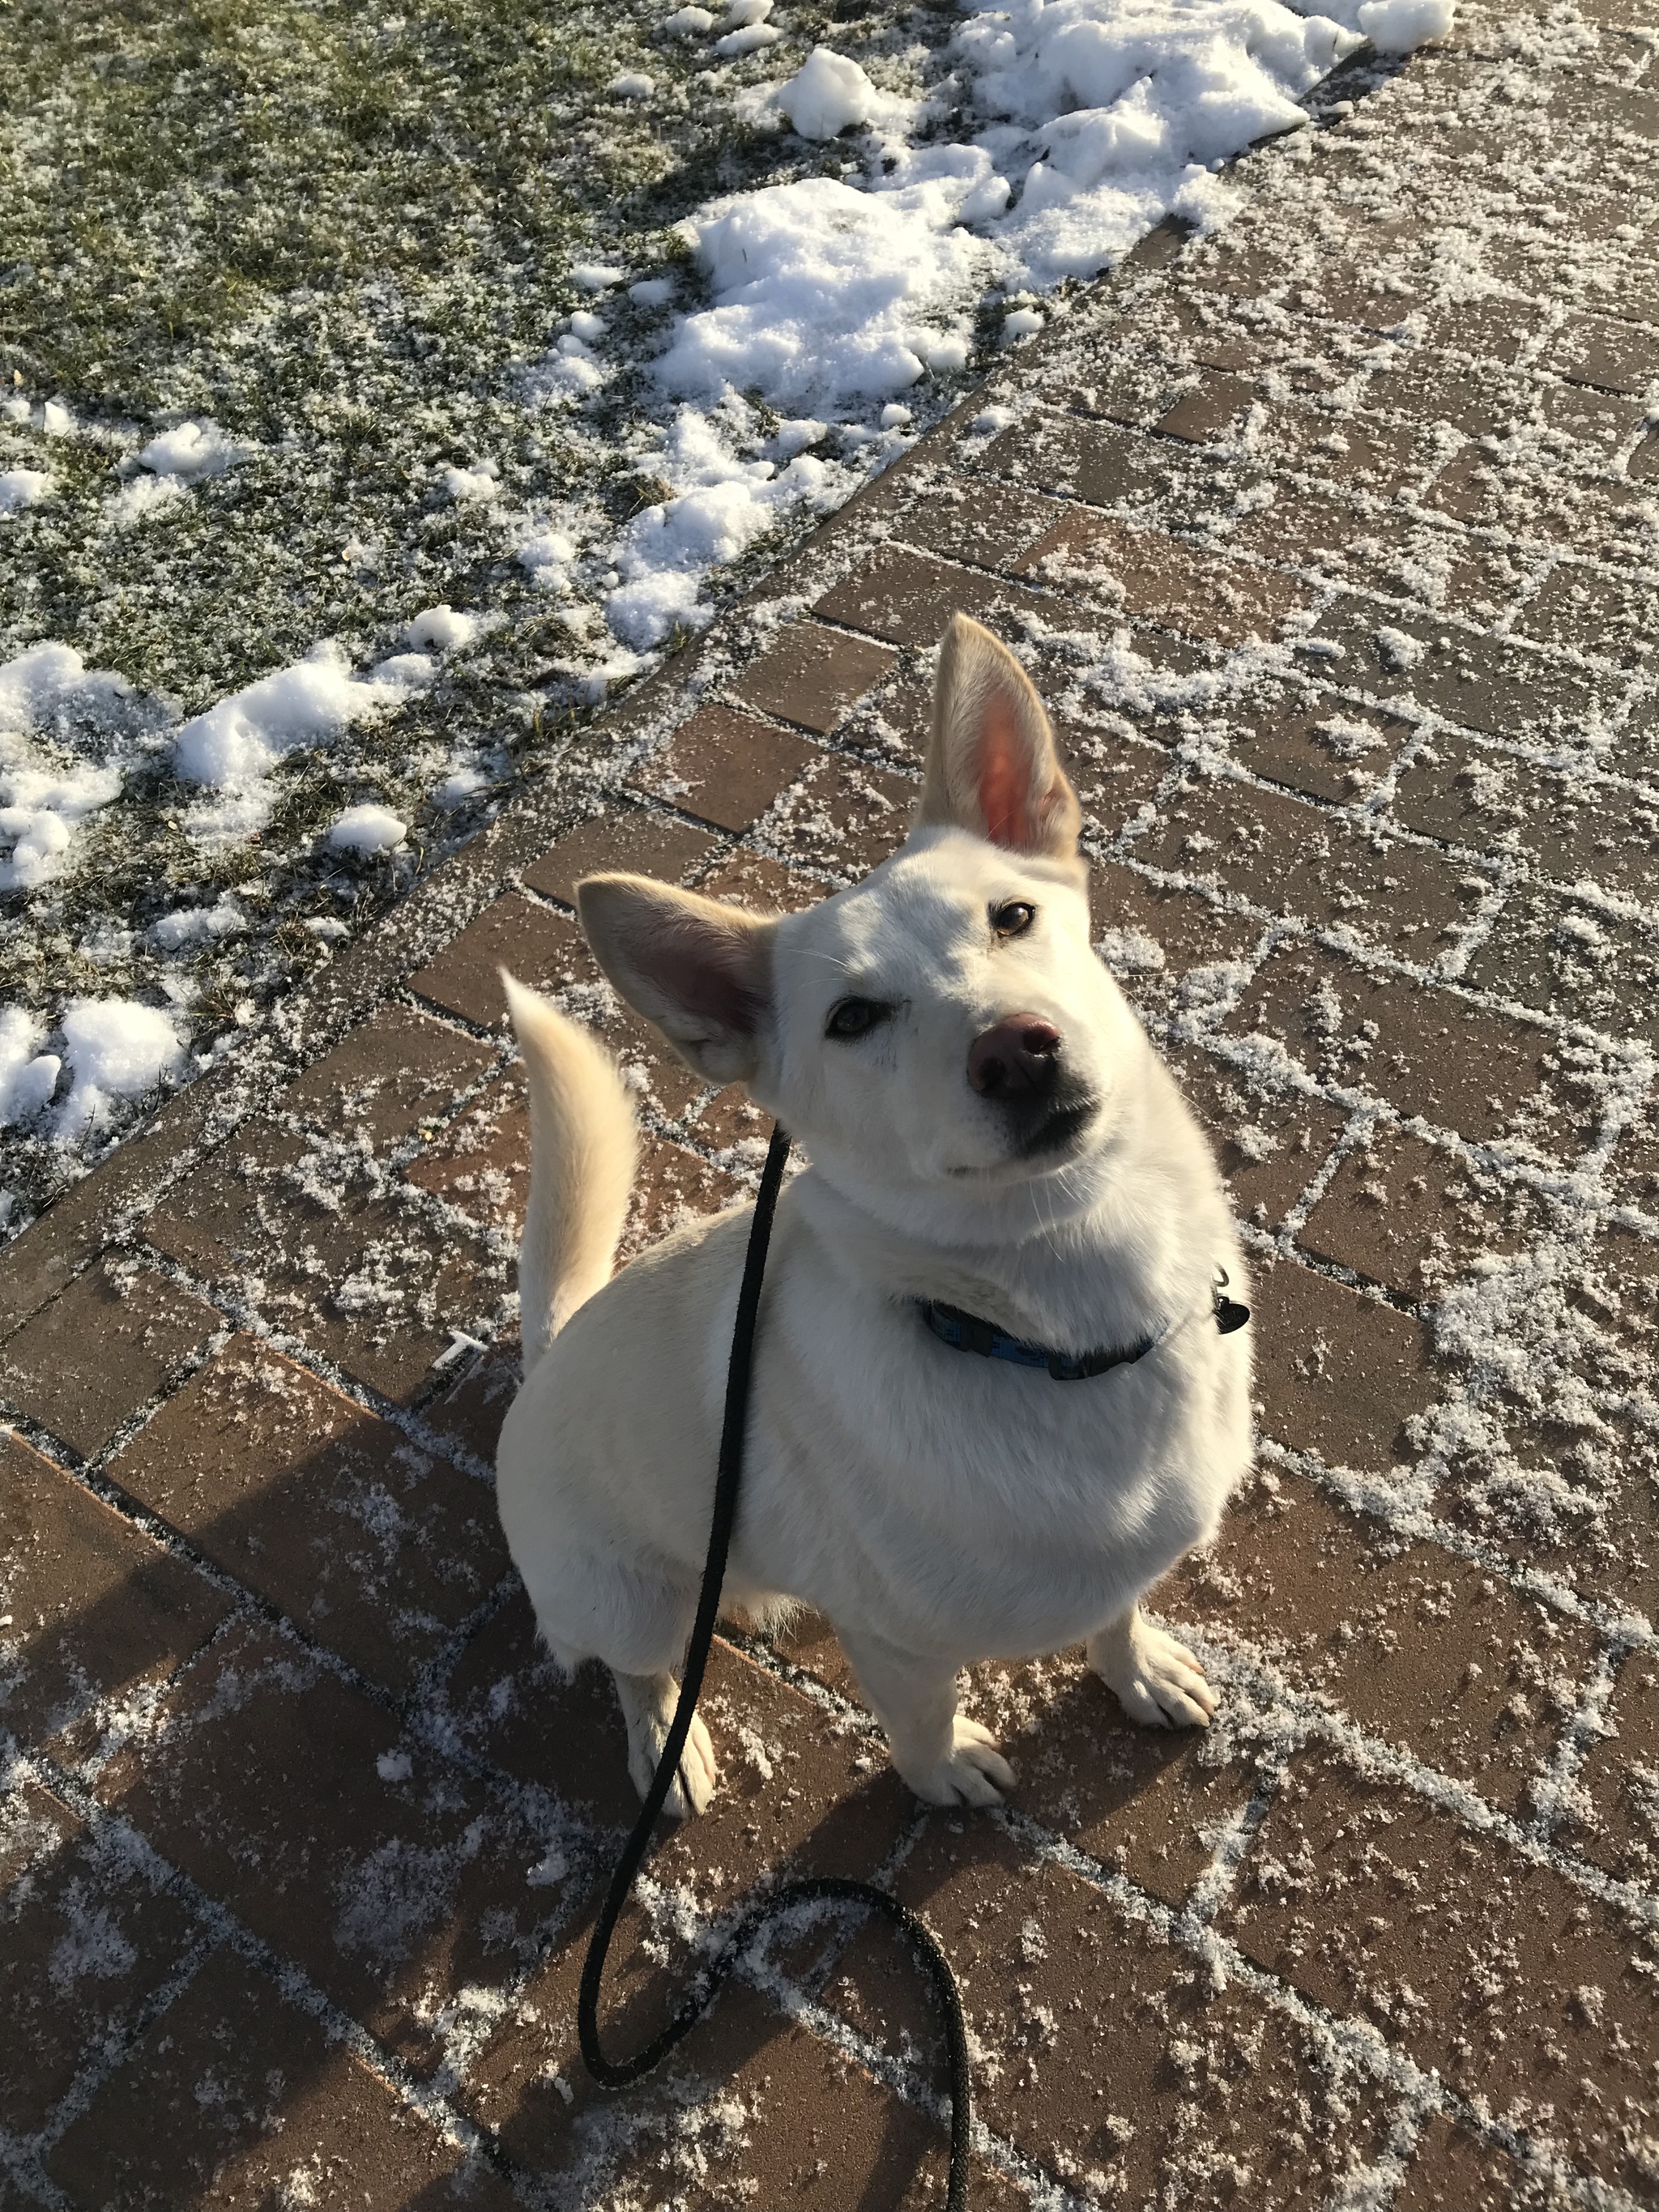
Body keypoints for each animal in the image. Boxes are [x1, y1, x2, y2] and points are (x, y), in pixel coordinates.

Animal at [500, 619, 1256, 1813]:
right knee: (634, 1665)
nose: (1016, 1049)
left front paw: (1136, 1670)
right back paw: (667, 1736)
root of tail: (552, 1351)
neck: (1063, 1322)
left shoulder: (1115, 1564)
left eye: (1012, 916)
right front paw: (943, 1774)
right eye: (852, 1018)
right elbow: (921, 1715)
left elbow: (1116, 1611)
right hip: (627, 1596)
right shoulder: (893, 1641)